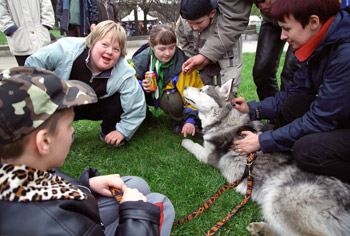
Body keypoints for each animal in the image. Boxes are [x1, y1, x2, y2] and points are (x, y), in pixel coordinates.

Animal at [182, 81, 350, 236]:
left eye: (202, 90)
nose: (184, 87)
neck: (224, 119)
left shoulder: (208, 156)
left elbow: (193, 146)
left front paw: (185, 140)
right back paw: (260, 229)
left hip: (277, 203)